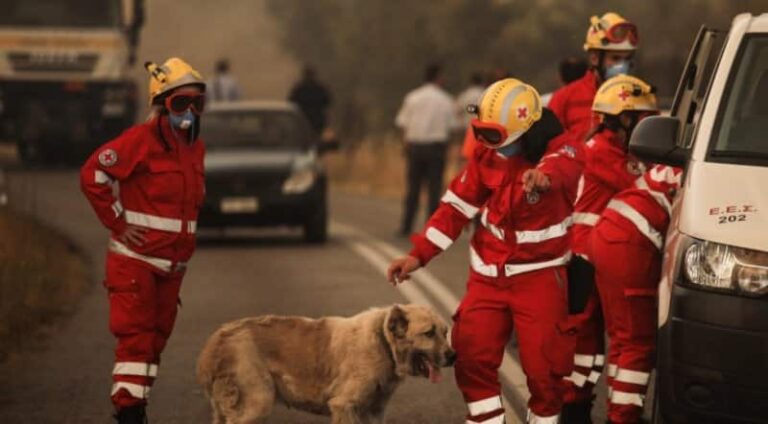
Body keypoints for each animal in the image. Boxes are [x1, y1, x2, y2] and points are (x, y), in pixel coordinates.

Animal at [195, 304, 456, 424]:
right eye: (429, 333)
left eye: (445, 332)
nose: (453, 356)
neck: (383, 342)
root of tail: (217, 339)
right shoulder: (345, 406)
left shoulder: (374, 411)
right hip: (256, 404)